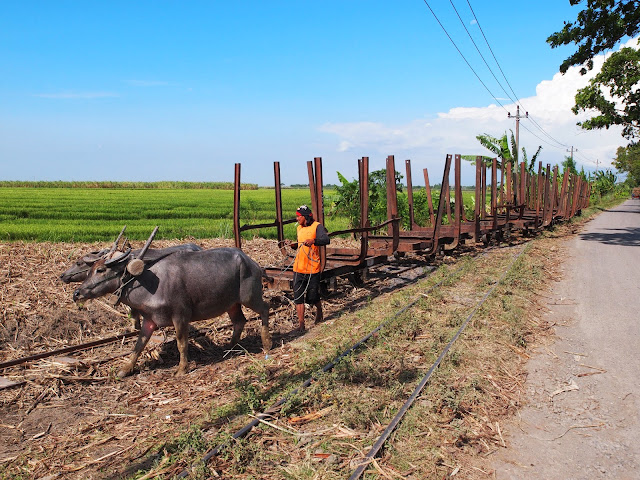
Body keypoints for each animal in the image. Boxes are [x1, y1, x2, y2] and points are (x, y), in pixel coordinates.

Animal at [73, 248, 272, 378]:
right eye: (89, 271)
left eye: (100, 270)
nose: (77, 293)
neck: (148, 285)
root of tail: (252, 263)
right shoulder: (149, 320)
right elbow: (139, 345)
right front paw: (126, 368)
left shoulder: (181, 316)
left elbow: (181, 343)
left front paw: (182, 368)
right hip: (232, 303)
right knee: (239, 321)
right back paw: (229, 347)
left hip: (250, 296)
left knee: (265, 309)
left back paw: (267, 343)